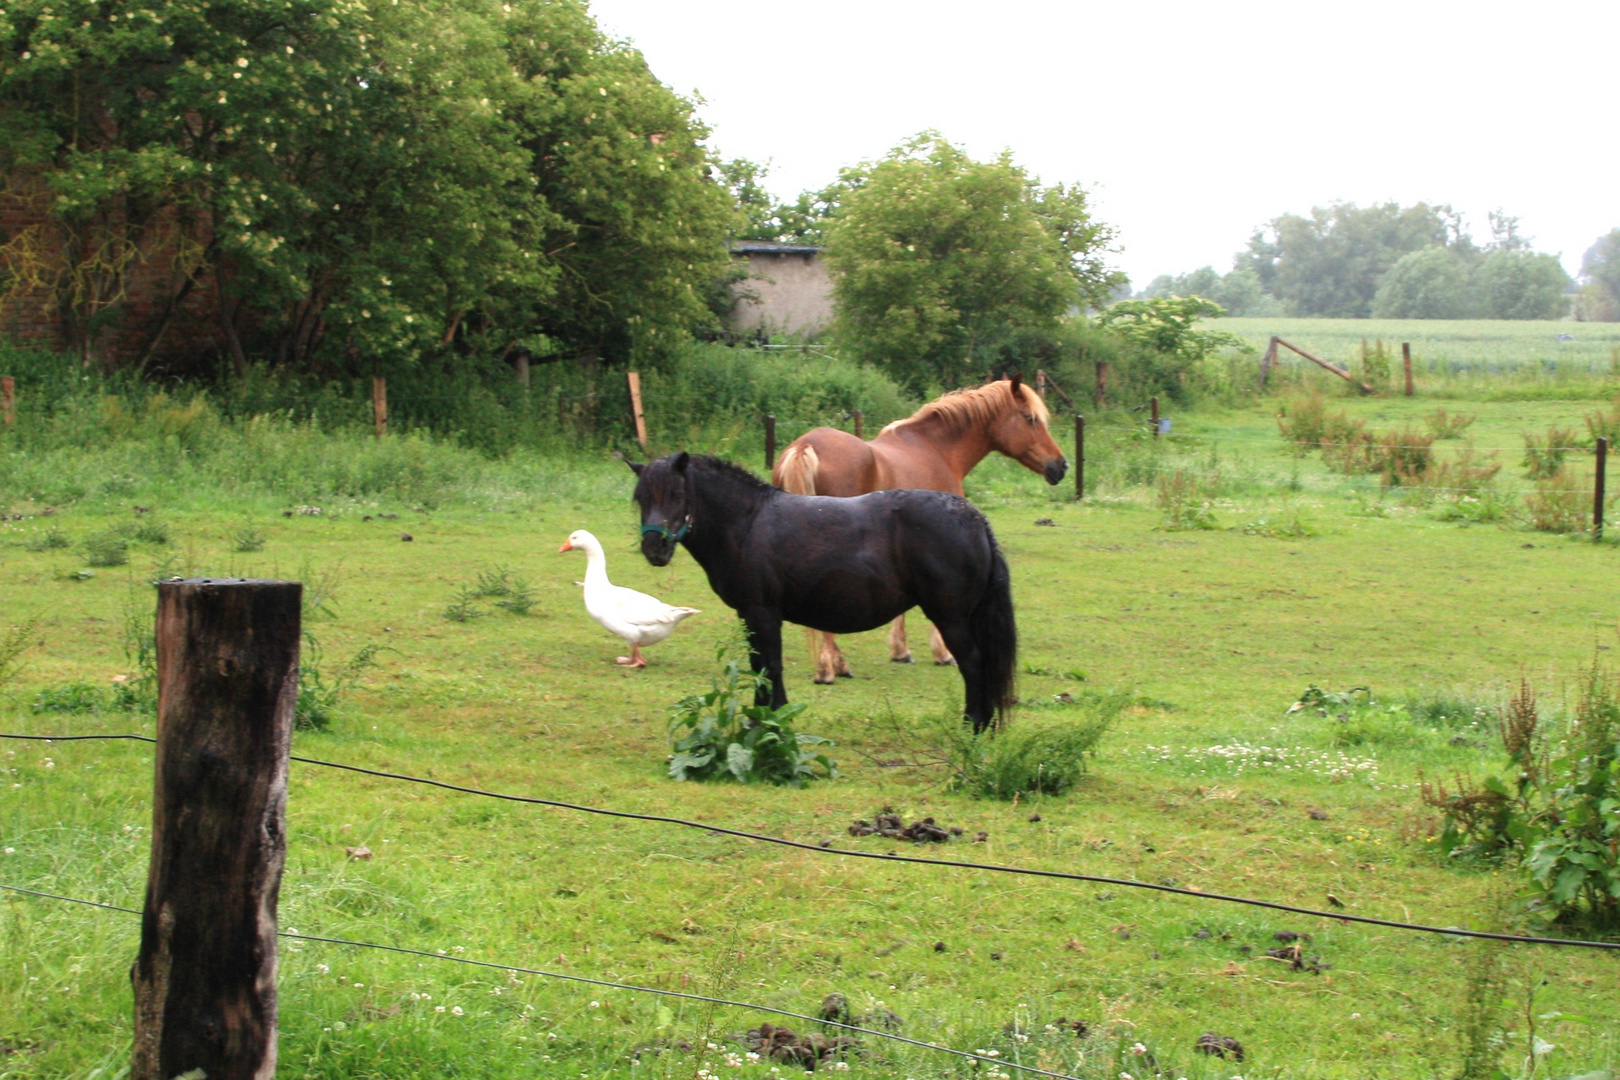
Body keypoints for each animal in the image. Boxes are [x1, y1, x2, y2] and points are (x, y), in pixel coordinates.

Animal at [628, 446, 1010, 735]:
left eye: (677, 494)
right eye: (641, 498)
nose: (654, 548)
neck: (747, 523)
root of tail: (975, 519)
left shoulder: (762, 613)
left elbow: (770, 666)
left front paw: (770, 721)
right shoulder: (749, 616)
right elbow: (759, 665)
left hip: (951, 617)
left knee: (973, 663)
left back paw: (973, 725)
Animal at [771, 375, 1062, 680]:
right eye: (1030, 419)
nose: (1061, 465)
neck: (937, 450)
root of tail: (804, 446)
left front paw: (900, 651)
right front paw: (943, 653)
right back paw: (830, 667)